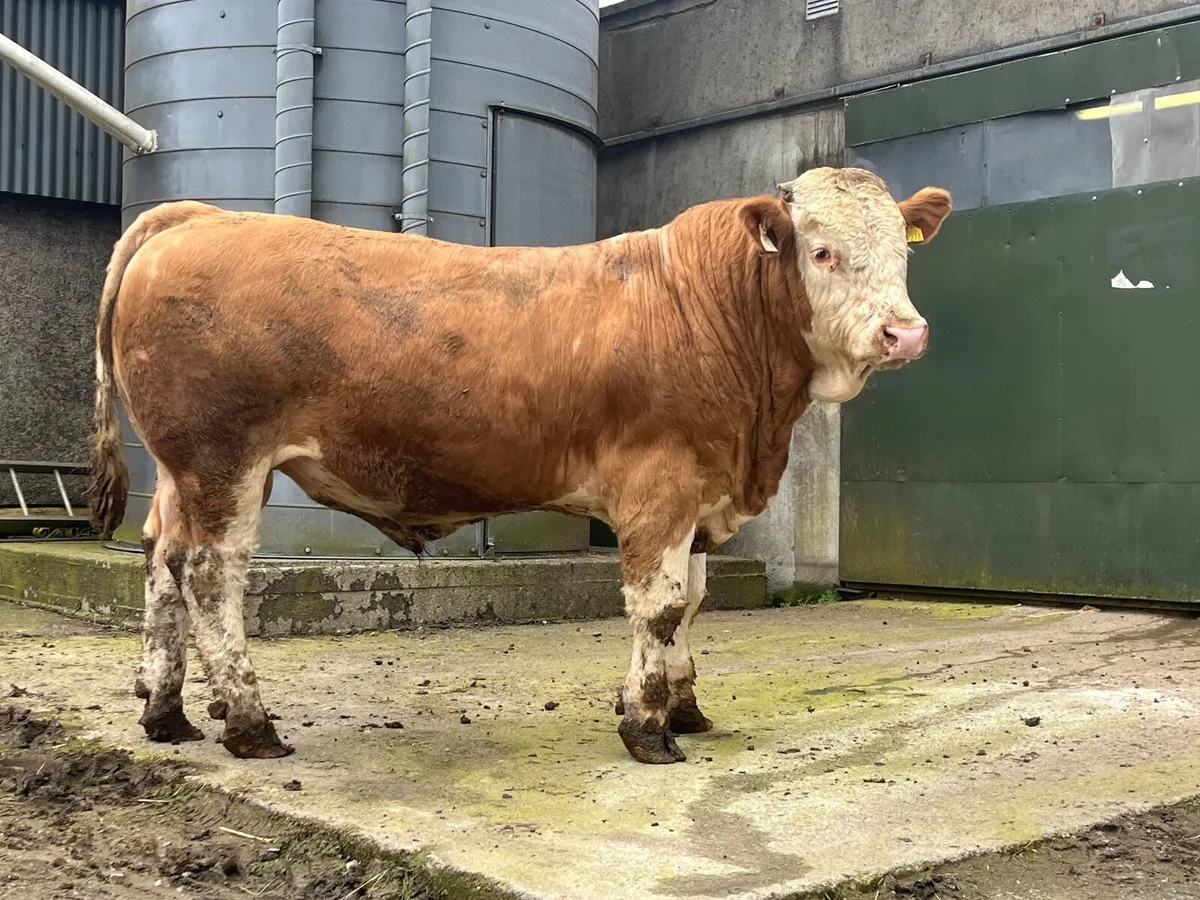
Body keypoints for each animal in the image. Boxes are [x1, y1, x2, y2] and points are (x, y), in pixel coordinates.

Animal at [87, 166, 951, 764]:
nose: (905, 333)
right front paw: (648, 728)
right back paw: (249, 723)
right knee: (209, 576)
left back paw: (166, 713)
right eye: (823, 251)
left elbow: (694, 603)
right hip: (222, 457)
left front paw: (682, 707)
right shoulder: (660, 484)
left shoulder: (704, 493)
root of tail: (199, 216)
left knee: (161, 562)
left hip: (183, 471)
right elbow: (662, 604)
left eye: (900, 255)